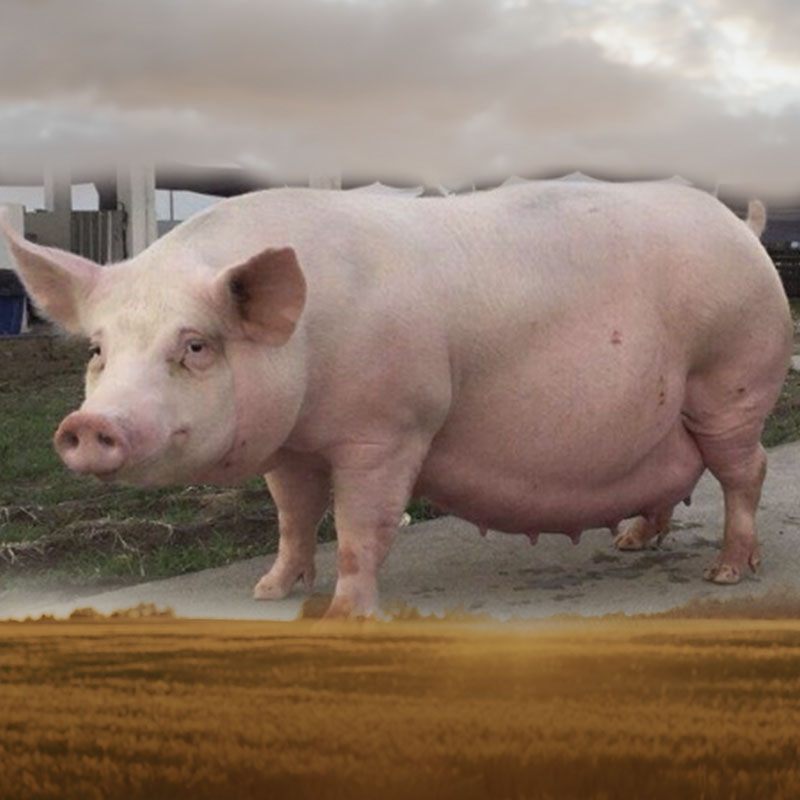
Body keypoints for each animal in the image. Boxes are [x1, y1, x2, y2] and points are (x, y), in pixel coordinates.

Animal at [1, 182, 792, 618]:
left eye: (195, 345)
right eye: (98, 349)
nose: (88, 425)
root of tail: (744, 230)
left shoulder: (389, 426)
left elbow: (361, 524)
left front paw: (344, 616)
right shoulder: (290, 444)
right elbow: (292, 517)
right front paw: (268, 592)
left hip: (732, 379)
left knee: (744, 471)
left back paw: (727, 572)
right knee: (678, 471)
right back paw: (631, 541)